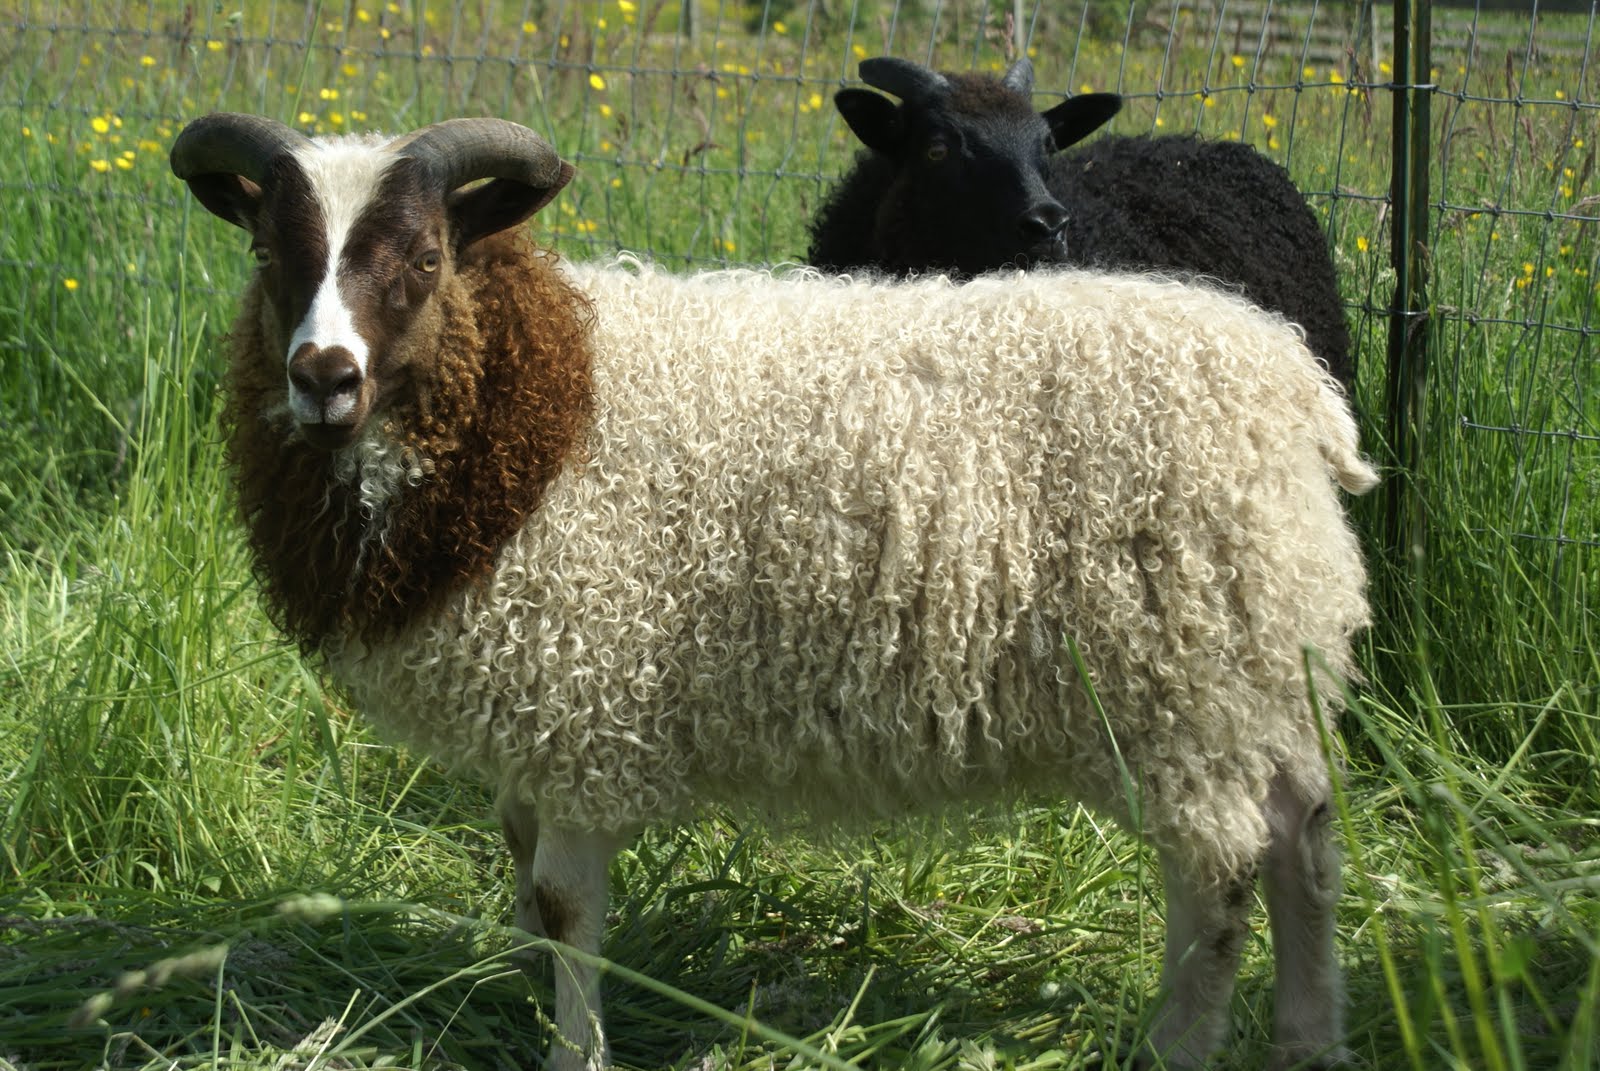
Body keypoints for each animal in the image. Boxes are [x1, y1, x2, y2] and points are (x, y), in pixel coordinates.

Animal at [170, 112, 1375, 1071]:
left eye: (423, 255)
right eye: (270, 253)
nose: (324, 378)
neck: (526, 398)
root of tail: (1292, 388)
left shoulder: (583, 690)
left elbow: (564, 905)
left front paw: (576, 1049)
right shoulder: (535, 702)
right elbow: (521, 875)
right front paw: (519, 997)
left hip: (1183, 677)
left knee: (1219, 874)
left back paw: (1179, 1045)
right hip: (1252, 661)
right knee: (1304, 834)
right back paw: (1309, 1037)